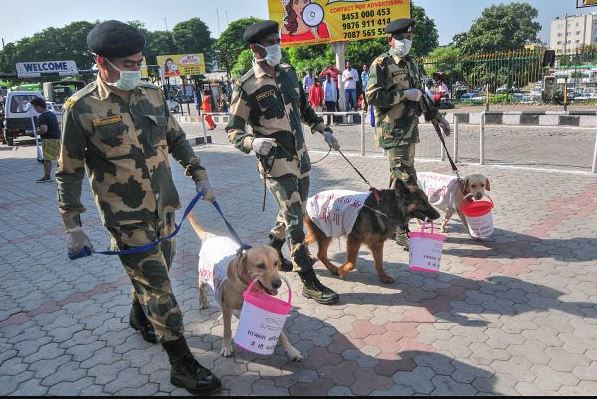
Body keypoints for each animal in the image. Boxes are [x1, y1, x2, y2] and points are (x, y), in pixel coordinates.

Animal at [189, 214, 302, 360]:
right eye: (260, 266)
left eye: (276, 263)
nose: (278, 283)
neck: (245, 284)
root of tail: (210, 236)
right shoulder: (226, 307)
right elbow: (227, 330)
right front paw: (226, 347)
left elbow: (282, 334)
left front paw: (291, 350)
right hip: (204, 276)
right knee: (200, 286)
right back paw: (203, 301)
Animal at [304, 181, 440, 284]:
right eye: (422, 202)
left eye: (427, 200)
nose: (438, 215)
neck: (384, 209)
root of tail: (309, 199)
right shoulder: (354, 239)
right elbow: (352, 263)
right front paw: (342, 270)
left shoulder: (377, 244)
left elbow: (379, 263)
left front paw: (383, 277)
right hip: (326, 233)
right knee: (320, 253)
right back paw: (330, 266)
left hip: (323, 233)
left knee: (307, 242)